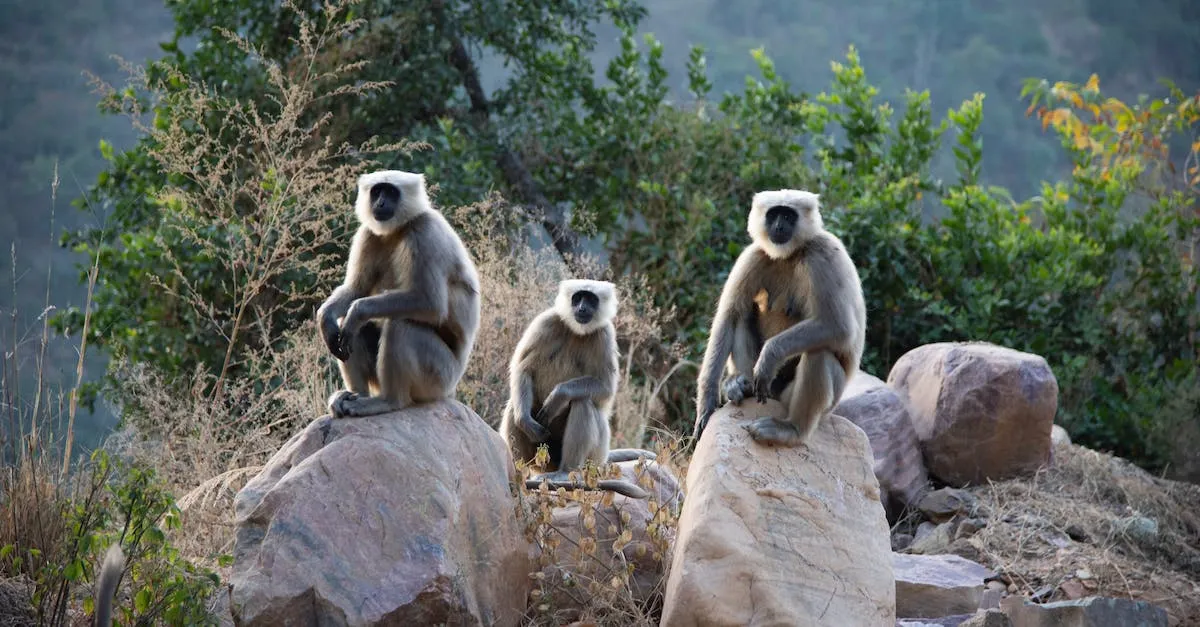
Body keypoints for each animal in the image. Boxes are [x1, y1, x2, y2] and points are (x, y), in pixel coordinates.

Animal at [317, 170, 481, 418]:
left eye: (391, 192)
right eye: (377, 191)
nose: (381, 203)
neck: (398, 230)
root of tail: (451, 390)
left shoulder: (424, 232)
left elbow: (430, 304)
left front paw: (358, 311)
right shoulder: (367, 234)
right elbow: (356, 290)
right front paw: (325, 318)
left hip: (439, 377)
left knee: (400, 326)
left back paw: (388, 401)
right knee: (354, 329)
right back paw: (355, 395)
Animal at [498, 279, 656, 500]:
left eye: (590, 299)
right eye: (578, 298)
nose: (582, 308)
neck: (577, 332)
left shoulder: (605, 334)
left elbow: (606, 388)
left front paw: (559, 396)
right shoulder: (546, 321)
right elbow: (523, 369)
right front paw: (525, 419)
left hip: (594, 457)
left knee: (582, 401)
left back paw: (564, 472)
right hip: (541, 457)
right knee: (517, 407)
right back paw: (518, 471)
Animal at [693, 189, 866, 447]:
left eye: (788, 215)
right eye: (774, 214)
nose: (779, 226)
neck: (790, 255)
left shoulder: (822, 253)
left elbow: (839, 328)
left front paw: (769, 356)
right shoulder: (754, 255)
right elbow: (729, 317)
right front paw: (706, 405)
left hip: (818, 402)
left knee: (819, 353)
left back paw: (791, 429)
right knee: (742, 315)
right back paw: (740, 385)